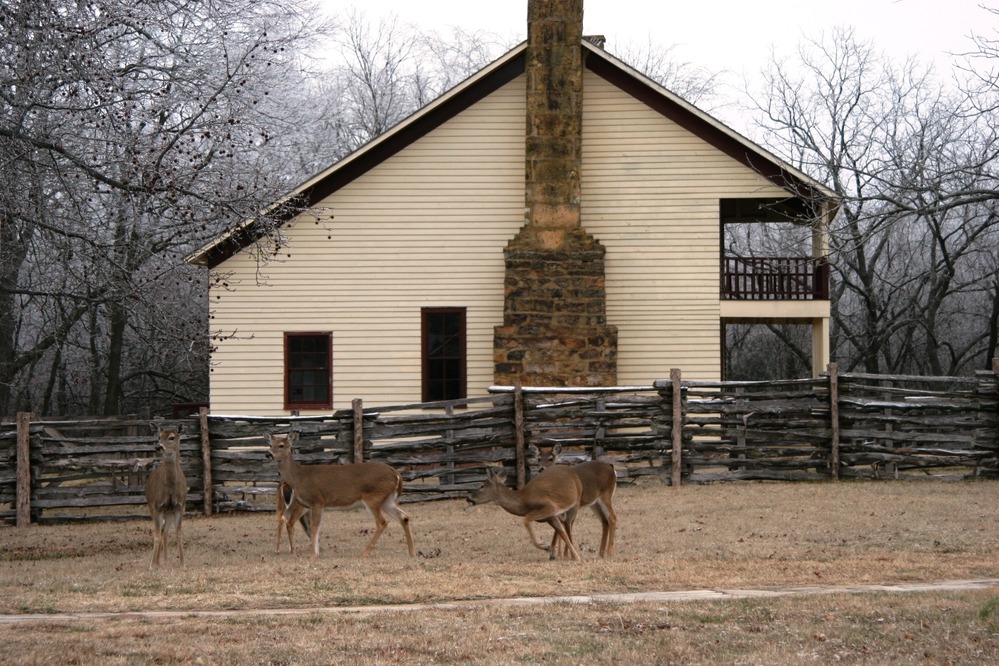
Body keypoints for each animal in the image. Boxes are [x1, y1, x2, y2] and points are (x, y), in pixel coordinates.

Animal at [144, 424, 189, 569]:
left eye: (172, 437)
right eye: (159, 436)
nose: (158, 446)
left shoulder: (180, 506)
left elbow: (179, 534)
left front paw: (183, 564)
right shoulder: (157, 506)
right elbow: (156, 535)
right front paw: (152, 566)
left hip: (169, 512)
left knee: (164, 531)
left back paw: (164, 562)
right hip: (152, 507)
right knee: (159, 531)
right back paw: (157, 562)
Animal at [266, 432, 416, 559]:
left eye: (281, 445)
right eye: (270, 445)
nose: (268, 454)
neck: (299, 477)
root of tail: (397, 474)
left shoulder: (317, 500)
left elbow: (314, 527)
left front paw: (313, 555)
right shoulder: (315, 505)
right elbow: (317, 527)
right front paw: (316, 553)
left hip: (373, 497)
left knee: (382, 522)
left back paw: (364, 553)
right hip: (387, 500)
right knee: (404, 517)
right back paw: (411, 552)